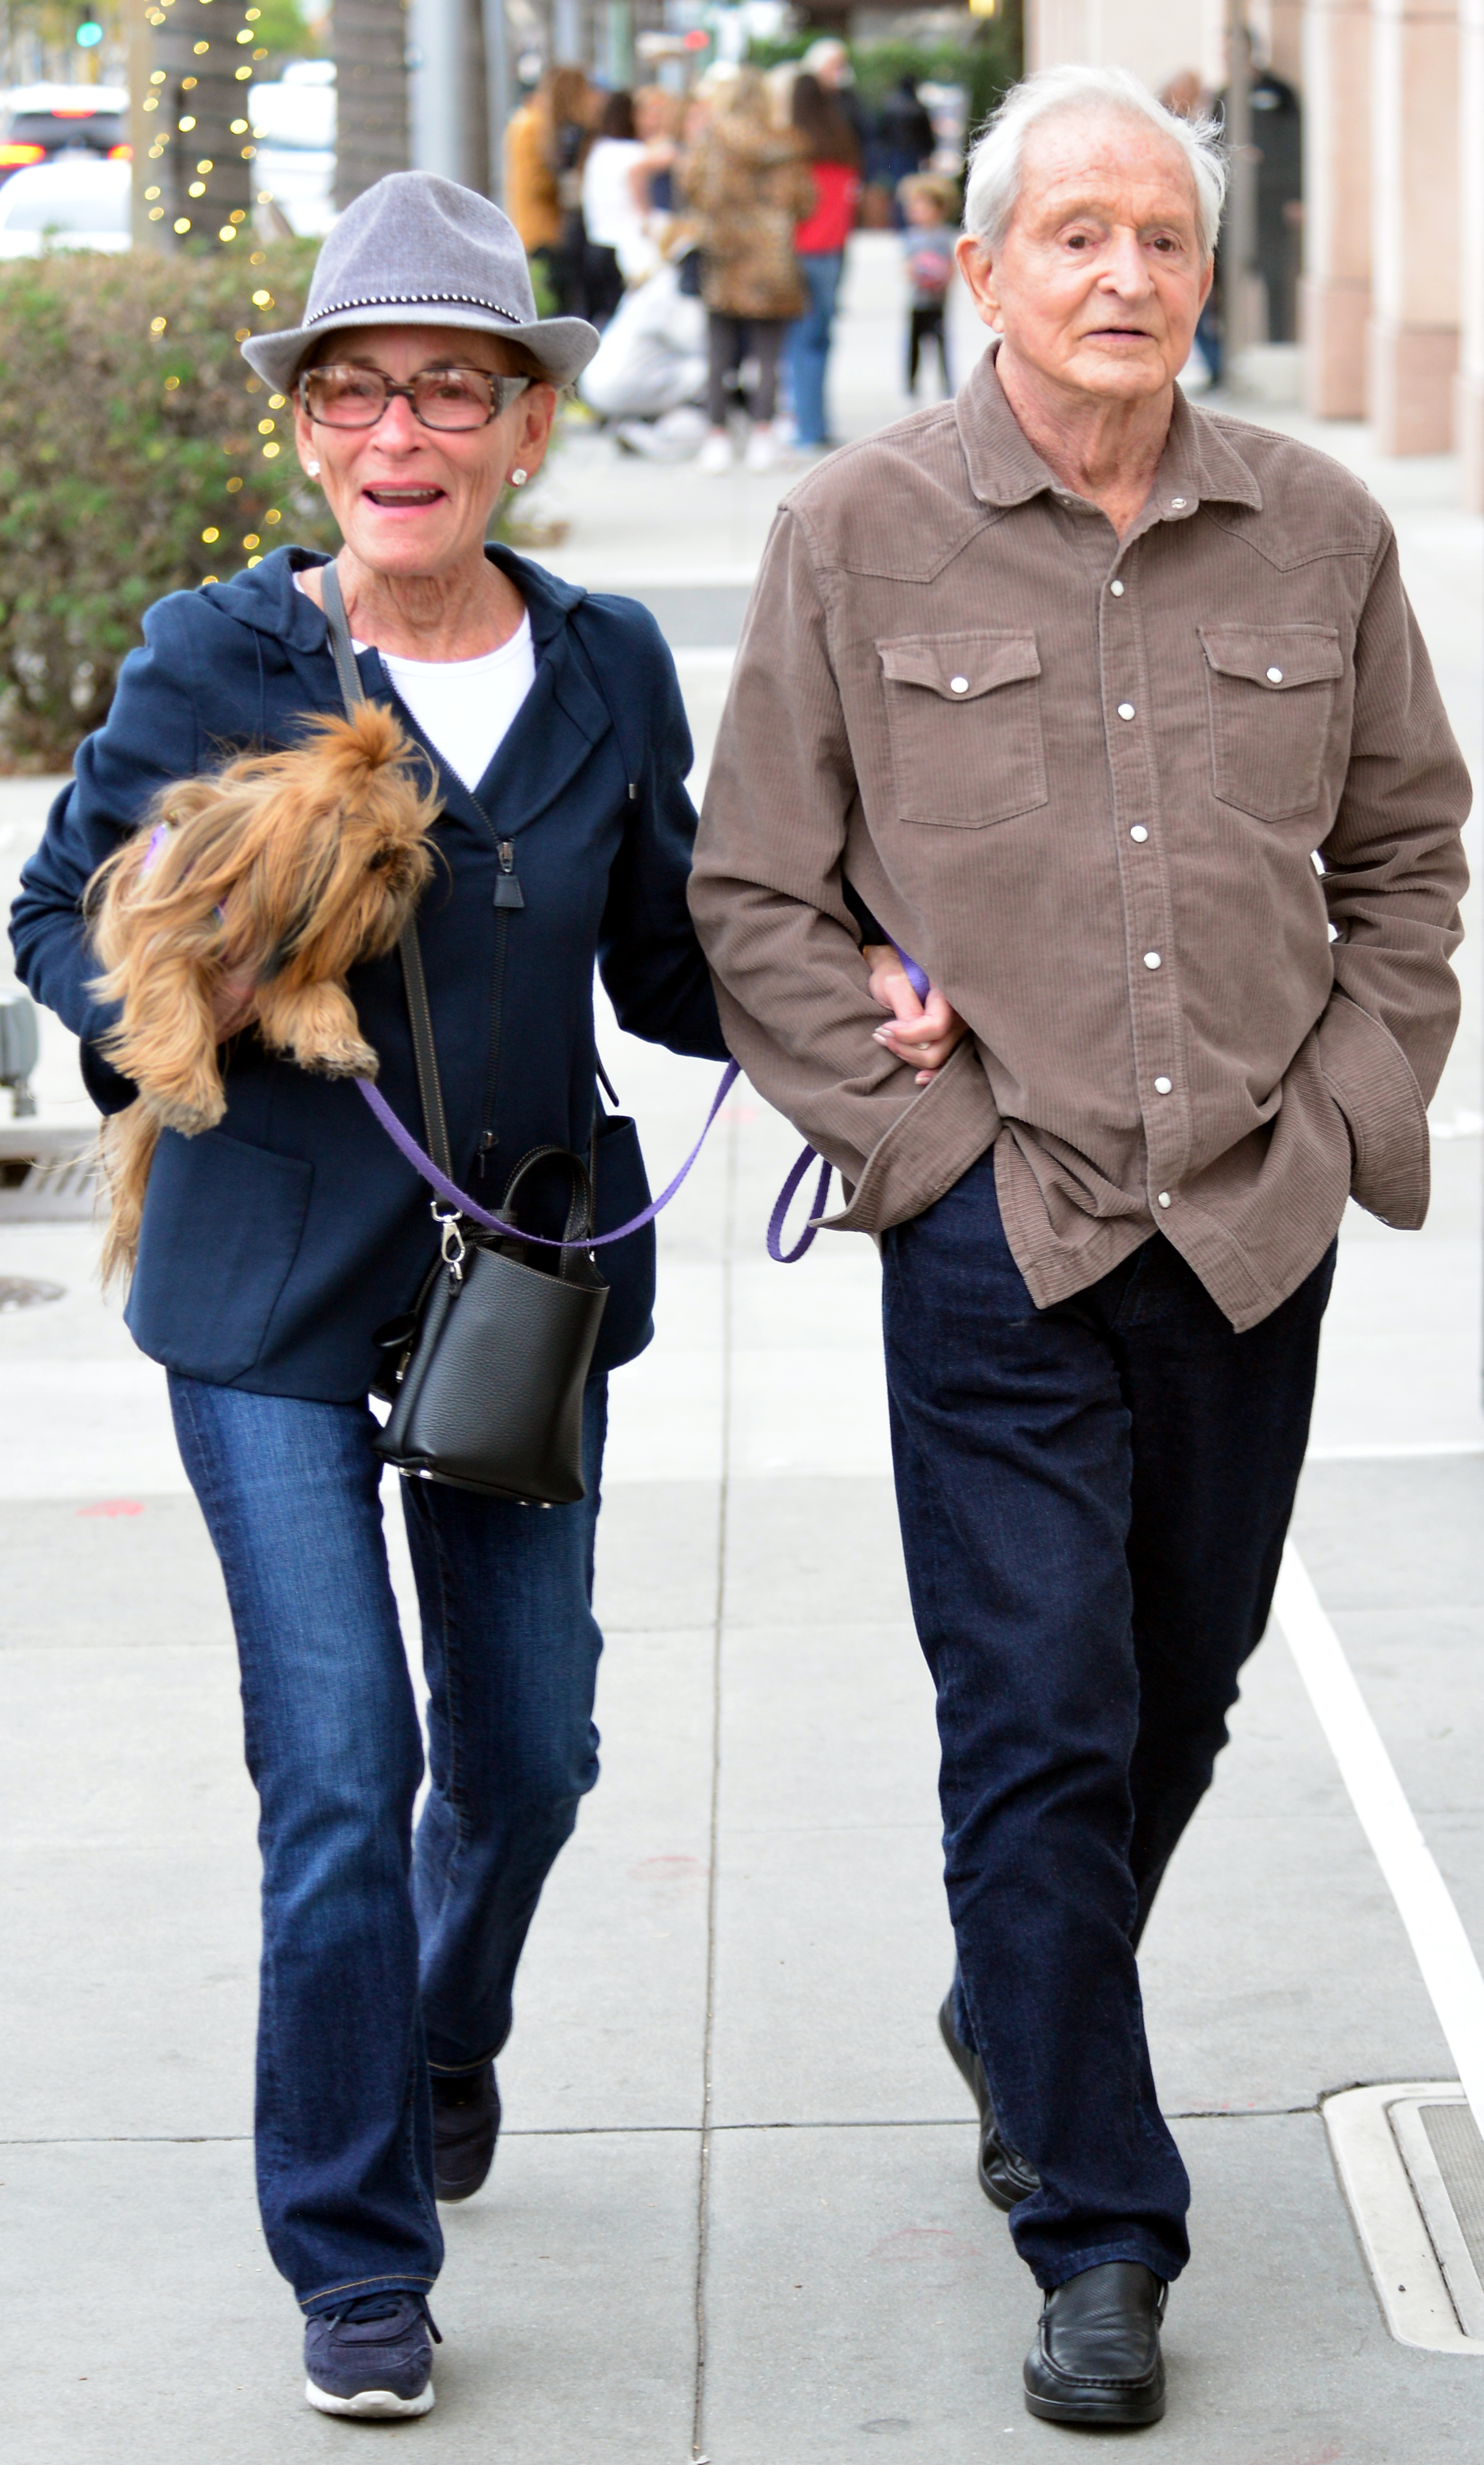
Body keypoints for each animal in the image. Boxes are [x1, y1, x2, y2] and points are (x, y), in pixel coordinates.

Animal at [88, 695, 439, 1272]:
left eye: (406, 845)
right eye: (377, 856)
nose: (409, 868)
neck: (251, 876)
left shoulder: (299, 951)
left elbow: (314, 996)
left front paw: (337, 1047)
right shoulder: (168, 937)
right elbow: (172, 1005)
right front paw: (188, 1094)